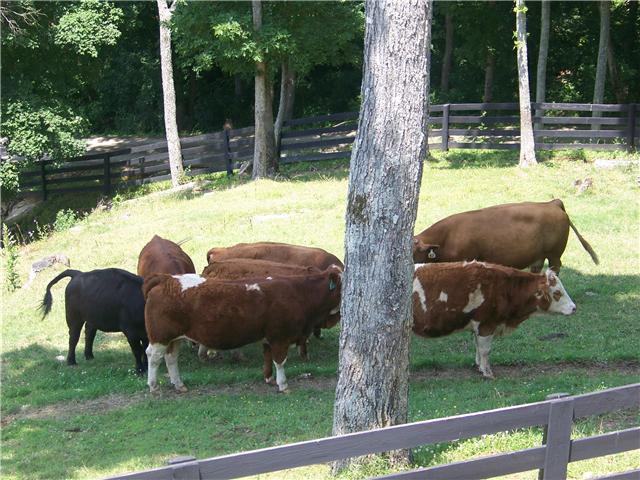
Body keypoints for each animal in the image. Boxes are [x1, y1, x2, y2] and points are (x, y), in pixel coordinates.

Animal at [142, 265, 342, 393]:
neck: (299, 292)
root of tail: (167, 279)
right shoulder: (280, 337)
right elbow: (280, 361)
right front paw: (283, 384)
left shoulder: (268, 338)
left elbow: (267, 358)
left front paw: (269, 379)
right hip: (160, 337)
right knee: (153, 357)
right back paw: (153, 386)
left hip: (174, 338)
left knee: (171, 358)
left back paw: (179, 385)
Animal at [412, 261, 576, 378]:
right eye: (557, 293)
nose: (574, 307)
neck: (505, 288)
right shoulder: (486, 324)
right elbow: (485, 350)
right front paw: (488, 373)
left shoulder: (478, 326)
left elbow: (478, 347)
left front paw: (480, 367)